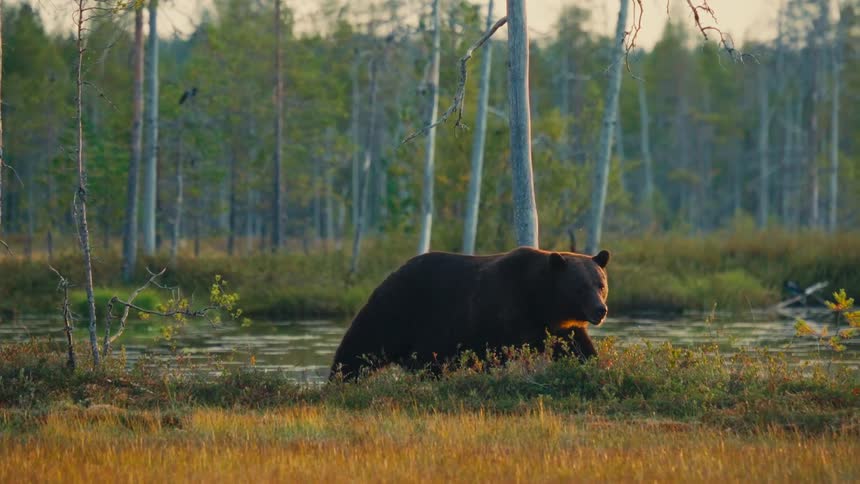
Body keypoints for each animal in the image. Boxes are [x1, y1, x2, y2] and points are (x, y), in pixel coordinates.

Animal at [330, 247, 610, 380]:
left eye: (600, 284)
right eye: (580, 286)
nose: (600, 309)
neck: (541, 300)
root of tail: (392, 273)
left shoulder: (559, 326)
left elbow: (577, 347)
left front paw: (595, 364)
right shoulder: (505, 313)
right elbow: (496, 353)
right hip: (400, 309)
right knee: (361, 346)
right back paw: (339, 379)